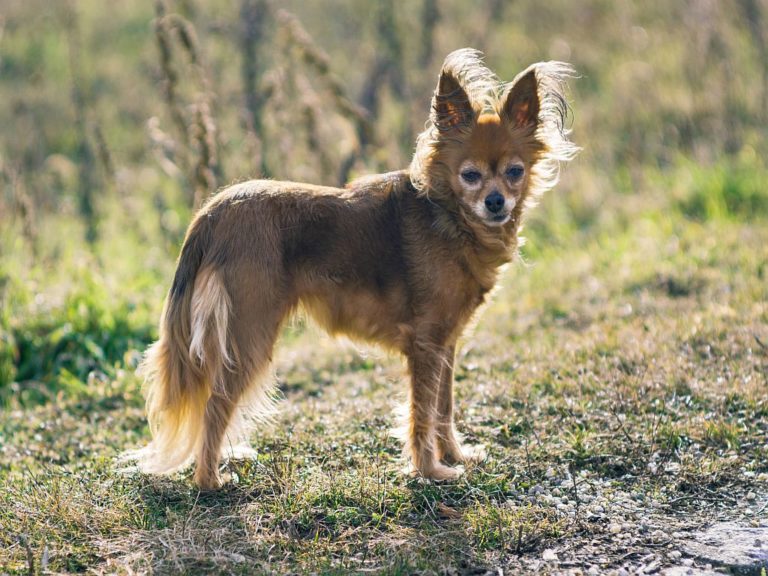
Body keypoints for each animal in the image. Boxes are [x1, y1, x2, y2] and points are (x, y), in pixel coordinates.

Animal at [126, 50, 576, 490]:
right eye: (470, 175)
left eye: (515, 172)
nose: (496, 202)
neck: (449, 217)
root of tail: (214, 211)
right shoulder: (425, 346)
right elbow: (422, 412)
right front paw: (430, 471)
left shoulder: (446, 344)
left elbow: (444, 407)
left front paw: (455, 456)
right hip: (249, 334)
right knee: (215, 405)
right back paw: (210, 481)